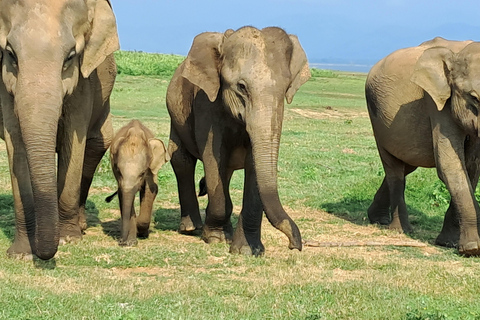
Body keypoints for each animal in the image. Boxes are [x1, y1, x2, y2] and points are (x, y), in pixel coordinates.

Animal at [0, 0, 119, 260]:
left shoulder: (85, 82)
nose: (44, 254)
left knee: (96, 147)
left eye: (70, 57)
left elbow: (74, 143)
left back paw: (80, 226)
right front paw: (22, 253)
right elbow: (15, 144)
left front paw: (68, 240)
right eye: (11, 54)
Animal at [106, 120, 169, 248]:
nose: (121, 241)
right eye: (118, 171)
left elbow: (151, 190)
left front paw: (141, 230)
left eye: (142, 173)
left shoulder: (151, 169)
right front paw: (131, 242)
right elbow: (123, 195)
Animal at [166, 26, 312, 256]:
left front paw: (247, 250)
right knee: (182, 160)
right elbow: (213, 157)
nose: (294, 245)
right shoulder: (206, 103)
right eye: (242, 87)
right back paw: (191, 228)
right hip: (175, 114)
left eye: (286, 87)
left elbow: (253, 165)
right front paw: (216, 239)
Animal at [366, 37, 480, 256]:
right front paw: (472, 249)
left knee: (407, 166)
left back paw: (376, 218)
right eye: (475, 98)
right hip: (377, 119)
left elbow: (471, 167)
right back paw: (400, 230)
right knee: (394, 170)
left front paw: (448, 243)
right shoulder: (437, 103)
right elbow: (450, 165)